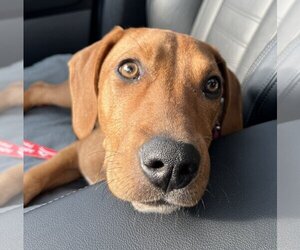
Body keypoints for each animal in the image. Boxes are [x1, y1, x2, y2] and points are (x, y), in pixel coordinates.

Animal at [24, 27, 244, 215]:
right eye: (129, 69)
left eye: (213, 85)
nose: (173, 164)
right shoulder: (77, 150)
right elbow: (34, 176)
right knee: (39, 88)